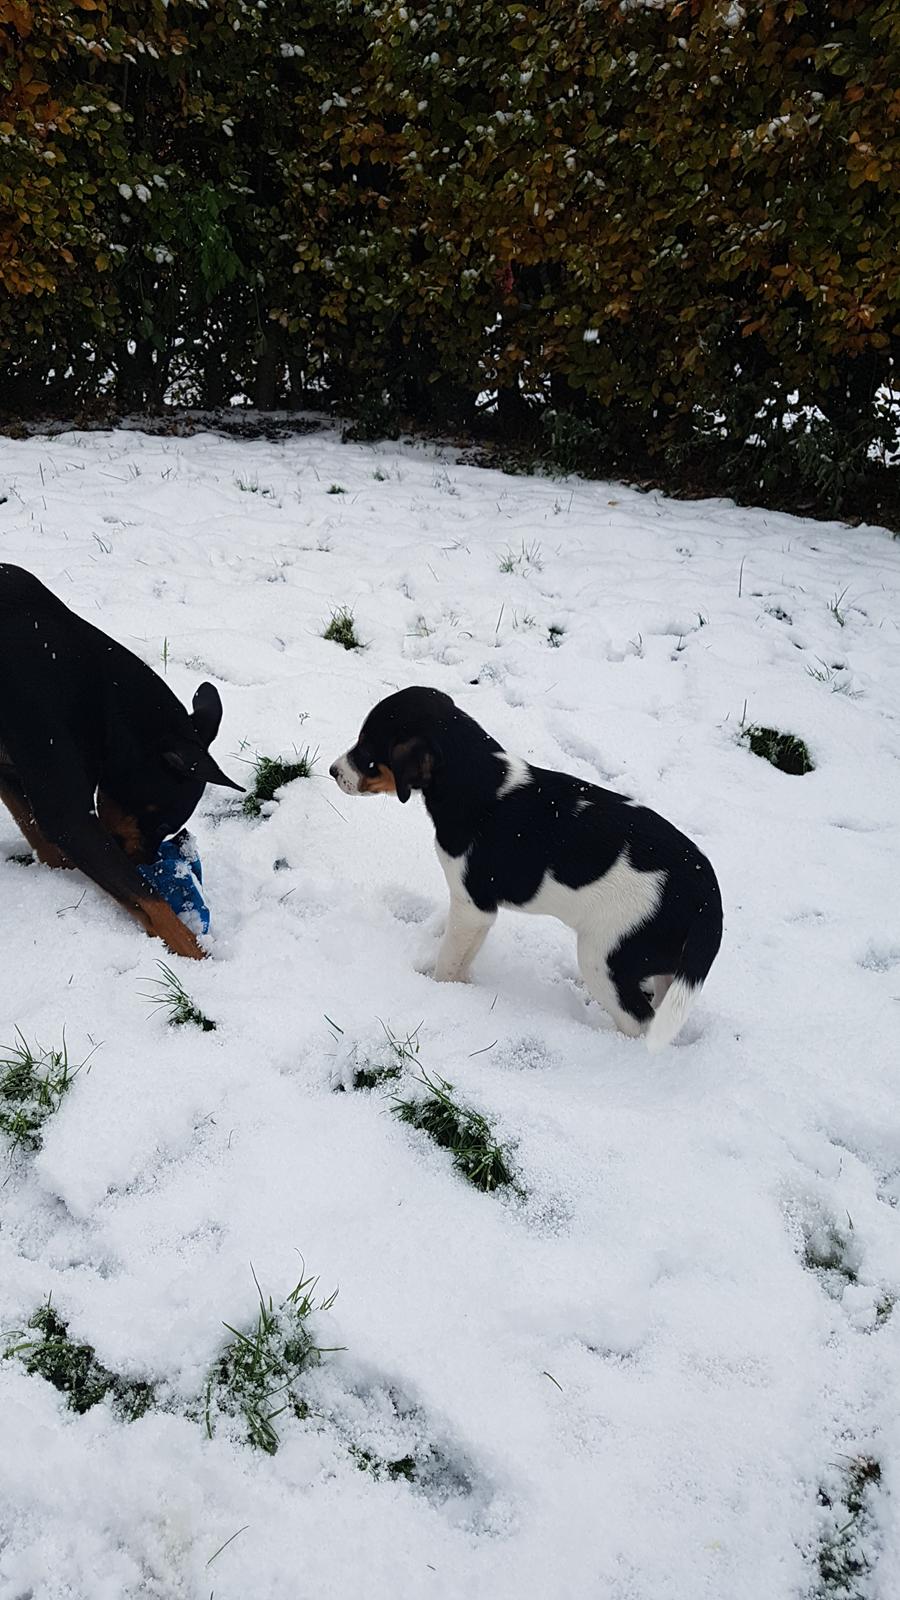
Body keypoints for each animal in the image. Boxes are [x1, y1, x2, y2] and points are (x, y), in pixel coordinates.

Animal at [0, 569, 241, 953]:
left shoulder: (12, 773)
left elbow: (45, 843)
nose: (146, 862)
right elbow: (150, 899)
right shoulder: (68, 816)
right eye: (161, 822)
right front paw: (194, 951)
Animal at [331, 688, 720, 1049]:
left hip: (604, 958)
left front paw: (441, 989)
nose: (333, 771)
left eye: (367, 751)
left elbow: (450, 959)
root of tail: (707, 896)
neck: (473, 777)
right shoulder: (477, 914)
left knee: (639, 1022)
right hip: (660, 962)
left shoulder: (473, 906)